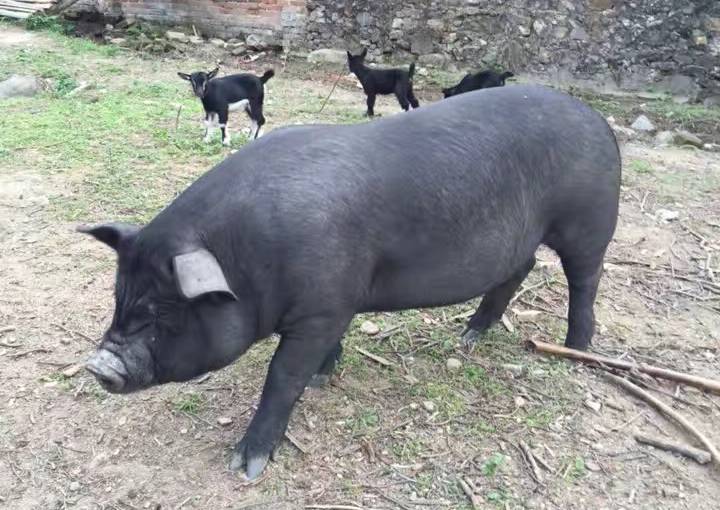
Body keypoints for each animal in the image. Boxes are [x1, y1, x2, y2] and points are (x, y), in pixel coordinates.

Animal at [77, 85, 620, 480]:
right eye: (119, 297)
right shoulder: (337, 302)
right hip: (521, 238)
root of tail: (597, 119)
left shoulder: (320, 308)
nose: (99, 366)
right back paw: (468, 336)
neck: (246, 256)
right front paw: (324, 375)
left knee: (586, 280)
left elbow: (282, 376)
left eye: (162, 313)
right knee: (518, 270)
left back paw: (575, 350)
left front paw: (246, 467)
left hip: (588, 222)